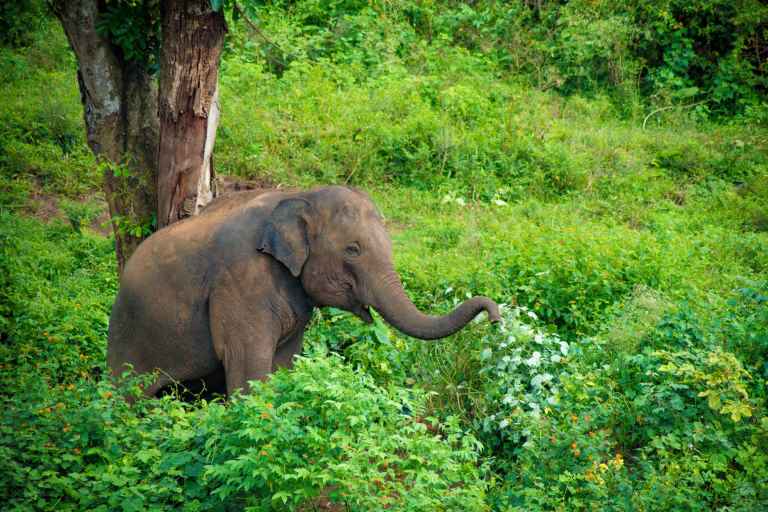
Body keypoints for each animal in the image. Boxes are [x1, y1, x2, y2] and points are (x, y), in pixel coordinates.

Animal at [109, 186, 504, 398]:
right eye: (353, 250)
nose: (496, 320)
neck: (298, 195)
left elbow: (284, 361)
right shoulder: (240, 282)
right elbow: (248, 365)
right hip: (129, 334)